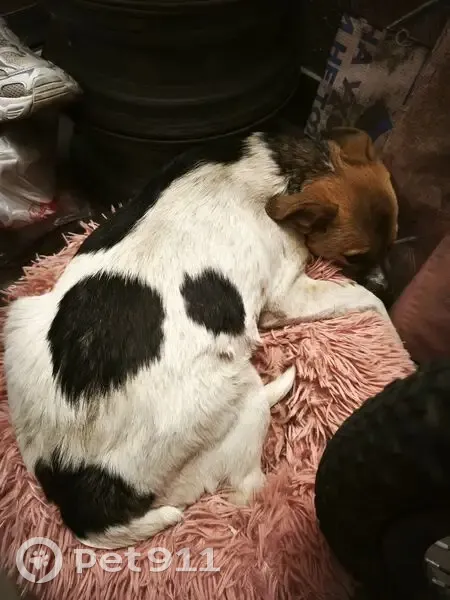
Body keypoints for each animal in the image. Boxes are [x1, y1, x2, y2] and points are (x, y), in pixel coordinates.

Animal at [4, 123, 398, 549]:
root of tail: (82, 494)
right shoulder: (286, 296)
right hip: (238, 390)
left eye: (394, 234)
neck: (294, 168)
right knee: (247, 486)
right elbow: (368, 300)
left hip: (19, 316)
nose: (392, 284)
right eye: (355, 256)